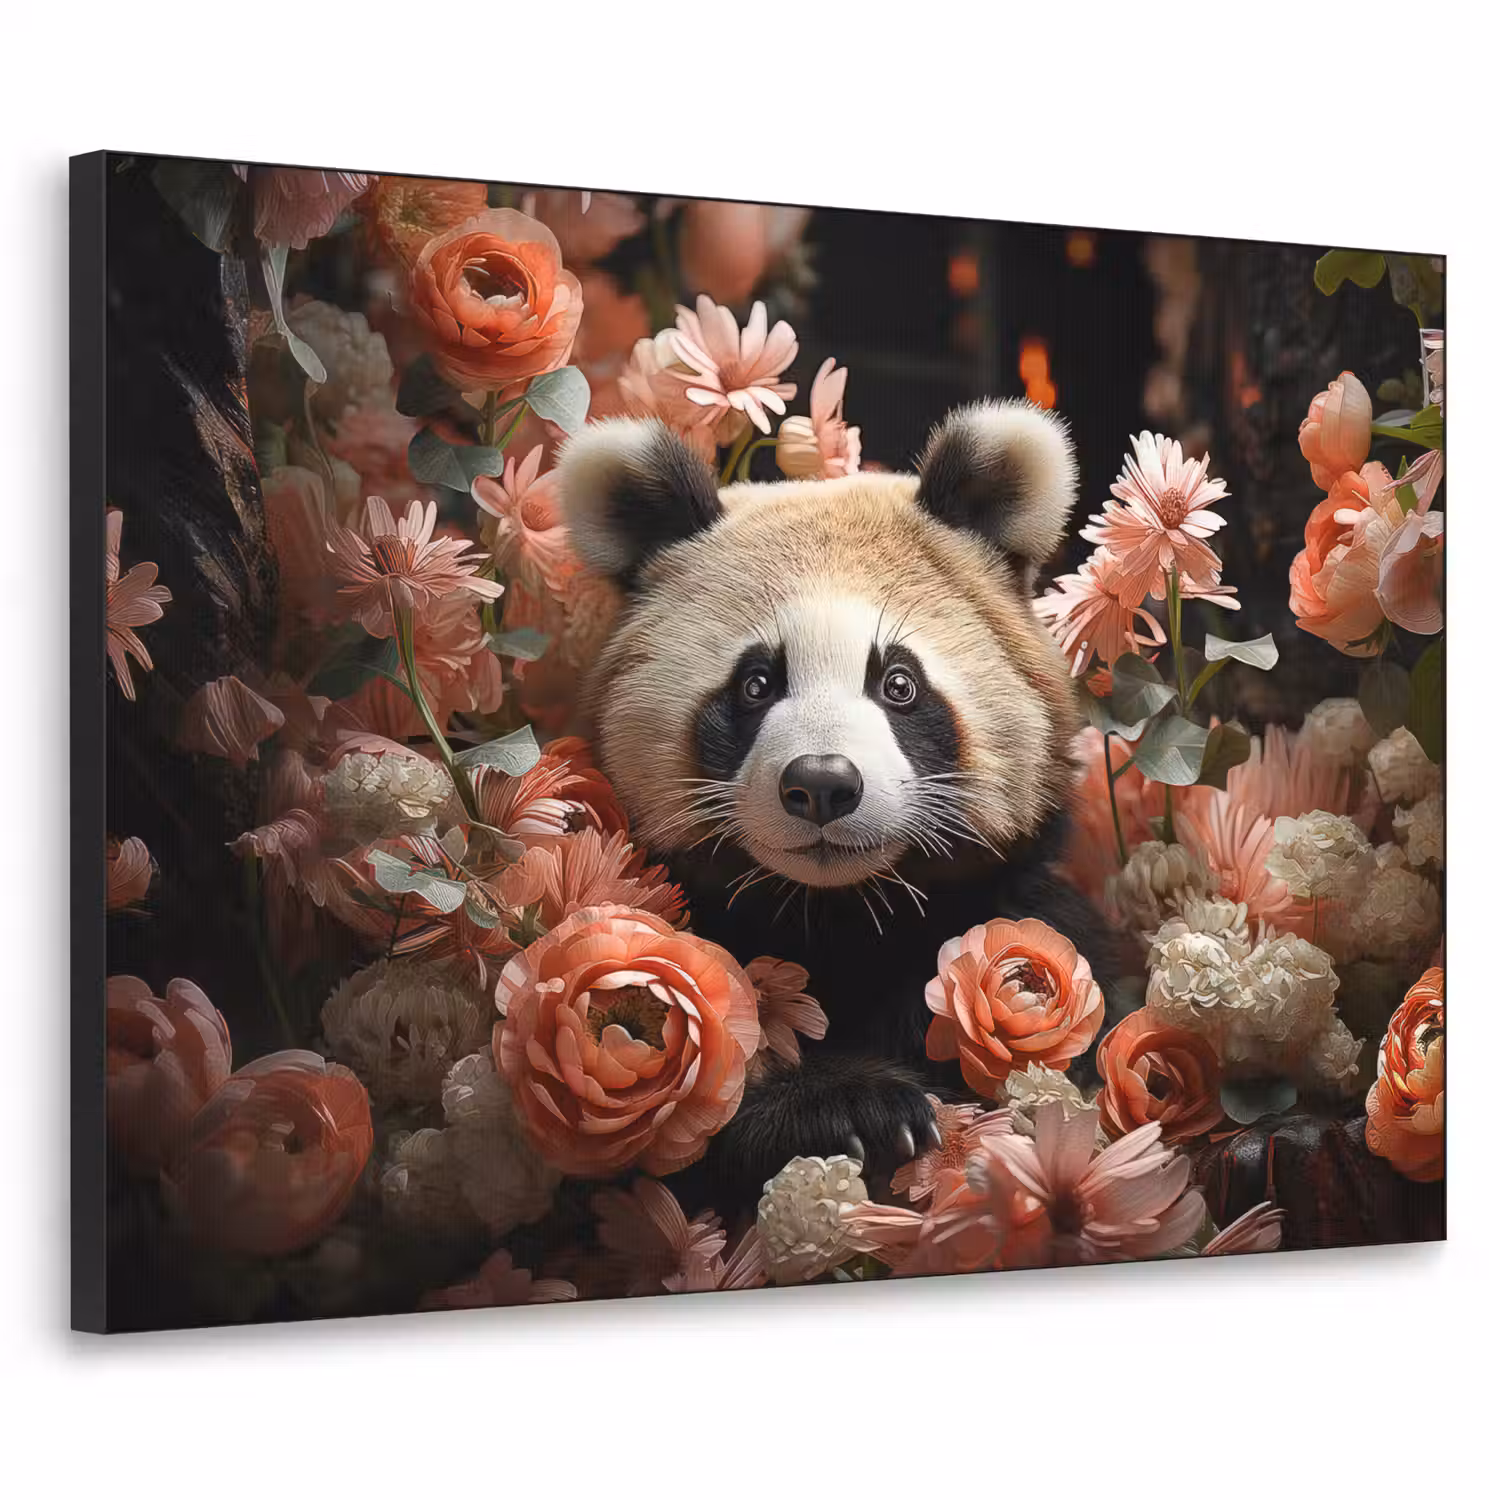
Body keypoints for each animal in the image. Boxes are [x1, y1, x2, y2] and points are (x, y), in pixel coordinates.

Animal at [554, 401, 1116, 1197]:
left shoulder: (1028, 920)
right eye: (756, 684)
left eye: (899, 683)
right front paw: (856, 1111)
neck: (838, 910)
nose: (822, 784)